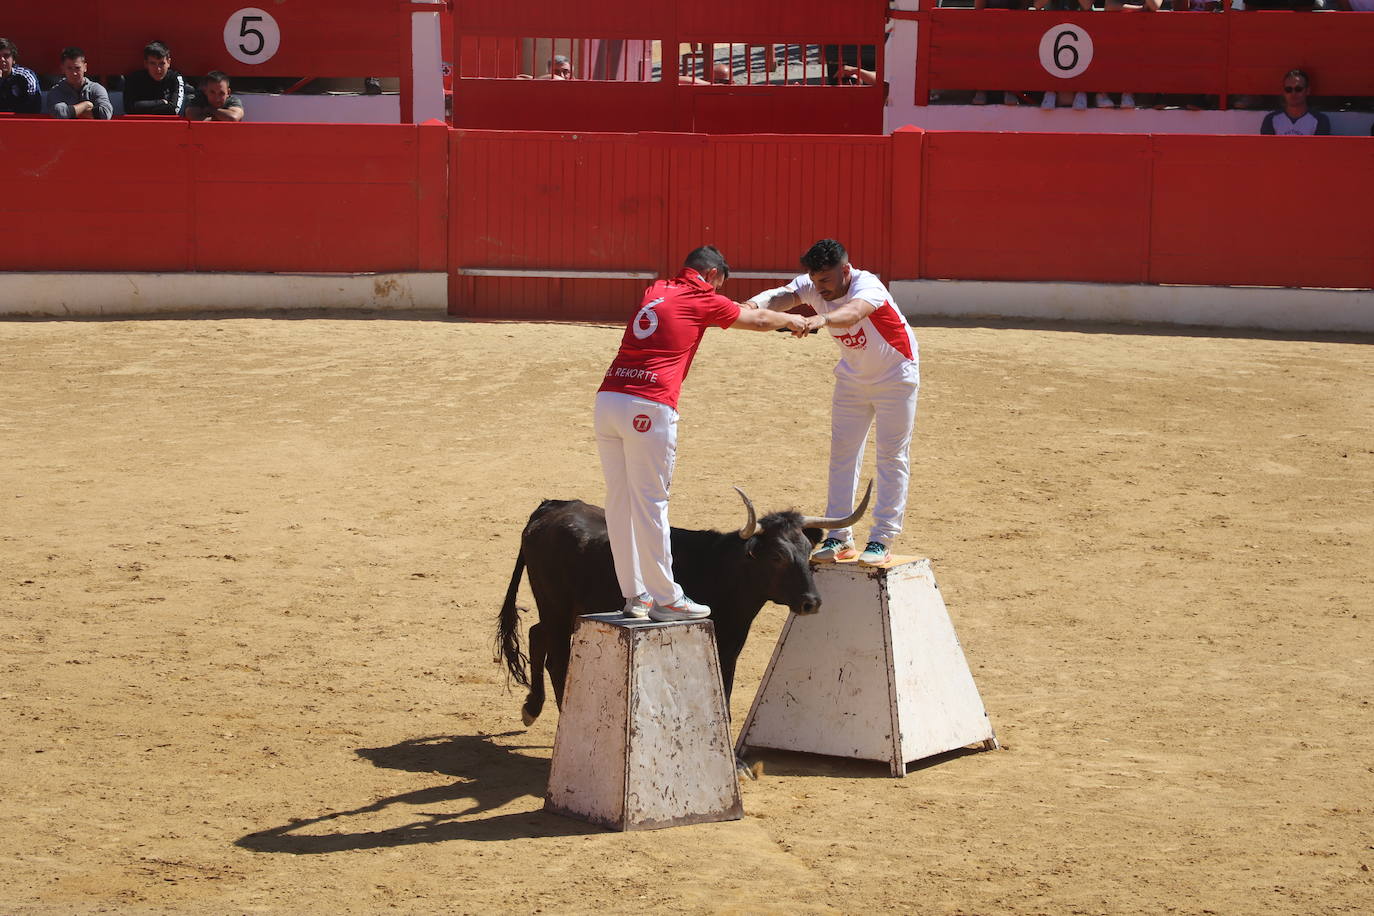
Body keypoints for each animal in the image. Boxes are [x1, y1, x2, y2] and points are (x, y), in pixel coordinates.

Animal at [494, 483, 868, 725]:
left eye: (806, 551)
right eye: (776, 556)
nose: (811, 602)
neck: (722, 568)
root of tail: (551, 507)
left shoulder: (729, 646)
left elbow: (725, 690)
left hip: (560, 610)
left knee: (536, 634)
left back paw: (532, 707)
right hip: (555, 606)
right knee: (556, 657)